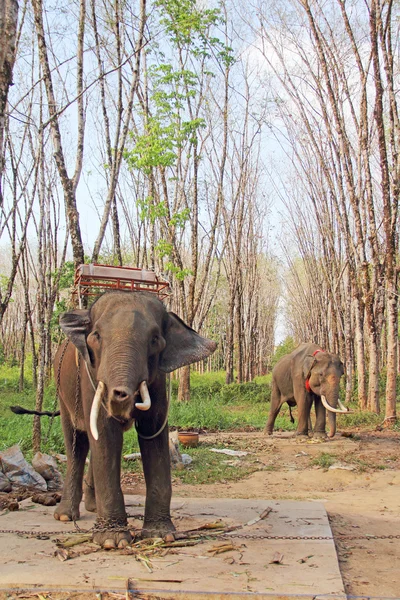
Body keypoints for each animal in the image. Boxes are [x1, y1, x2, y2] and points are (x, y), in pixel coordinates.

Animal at [52, 290, 217, 548]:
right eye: (96, 336)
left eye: (155, 339)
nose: (121, 395)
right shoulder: (90, 377)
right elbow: (105, 433)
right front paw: (112, 541)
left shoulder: (158, 380)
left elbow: (152, 435)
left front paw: (160, 535)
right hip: (62, 392)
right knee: (77, 444)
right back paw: (65, 516)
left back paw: (93, 507)